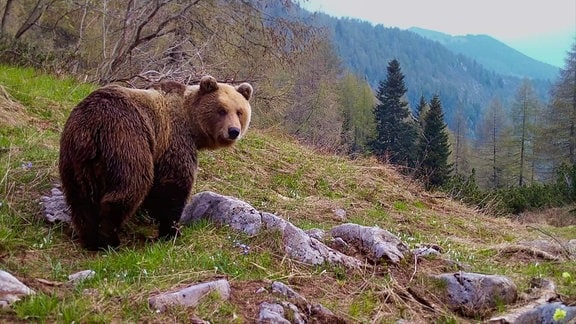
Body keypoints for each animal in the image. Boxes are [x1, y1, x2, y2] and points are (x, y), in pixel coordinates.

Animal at [58, 76, 252, 251]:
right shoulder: (173, 139)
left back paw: (89, 238)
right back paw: (109, 239)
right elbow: (173, 185)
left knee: (80, 197)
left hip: (75, 156)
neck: (192, 125)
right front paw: (171, 231)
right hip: (126, 139)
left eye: (239, 111)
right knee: (131, 185)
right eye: (222, 110)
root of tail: (92, 124)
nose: (233, 131)